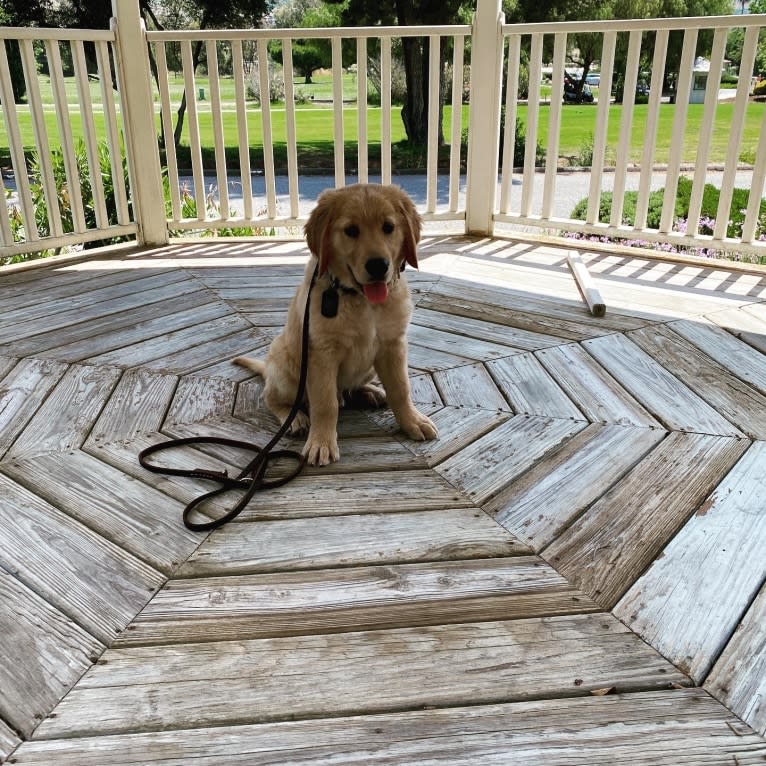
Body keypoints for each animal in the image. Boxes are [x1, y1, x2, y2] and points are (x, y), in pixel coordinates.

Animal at [234, 184, 438, 468]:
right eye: (351, 230)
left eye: (388, 227)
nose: (378, 265)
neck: (361, 300)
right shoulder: (321, 353)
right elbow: (325, 403)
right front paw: (321, 442)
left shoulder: (393, 345)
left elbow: (400, 389)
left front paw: (412, 421)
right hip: (287, 369)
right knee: (273, 398)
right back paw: (296, 419)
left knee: (348, 389)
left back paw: (370, 392)